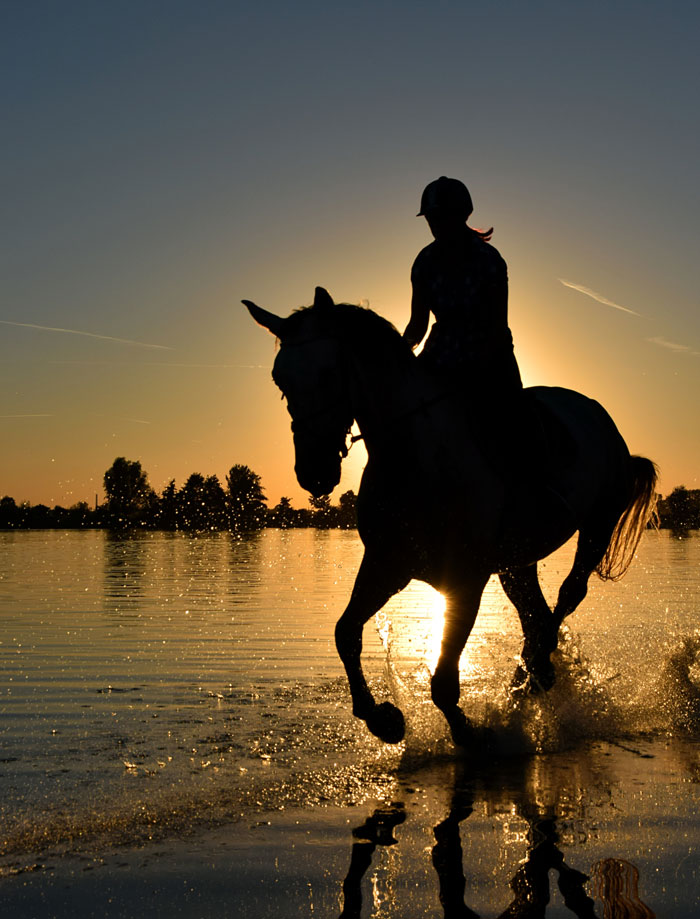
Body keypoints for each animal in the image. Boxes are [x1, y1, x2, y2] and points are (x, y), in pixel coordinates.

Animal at [244, 287, 658, 747]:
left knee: (568, 595)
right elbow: (345, 633)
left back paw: (533, 675)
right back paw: (531, 678)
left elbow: (443, 681)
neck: (416, 455)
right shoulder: (387, 565)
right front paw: (383, 718)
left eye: (329, 373)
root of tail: (596, 412)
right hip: (517, 561)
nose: (313, 472)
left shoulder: (465, 579)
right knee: (533, 612)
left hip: (597, 525)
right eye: (280, 379)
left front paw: (472, 735)